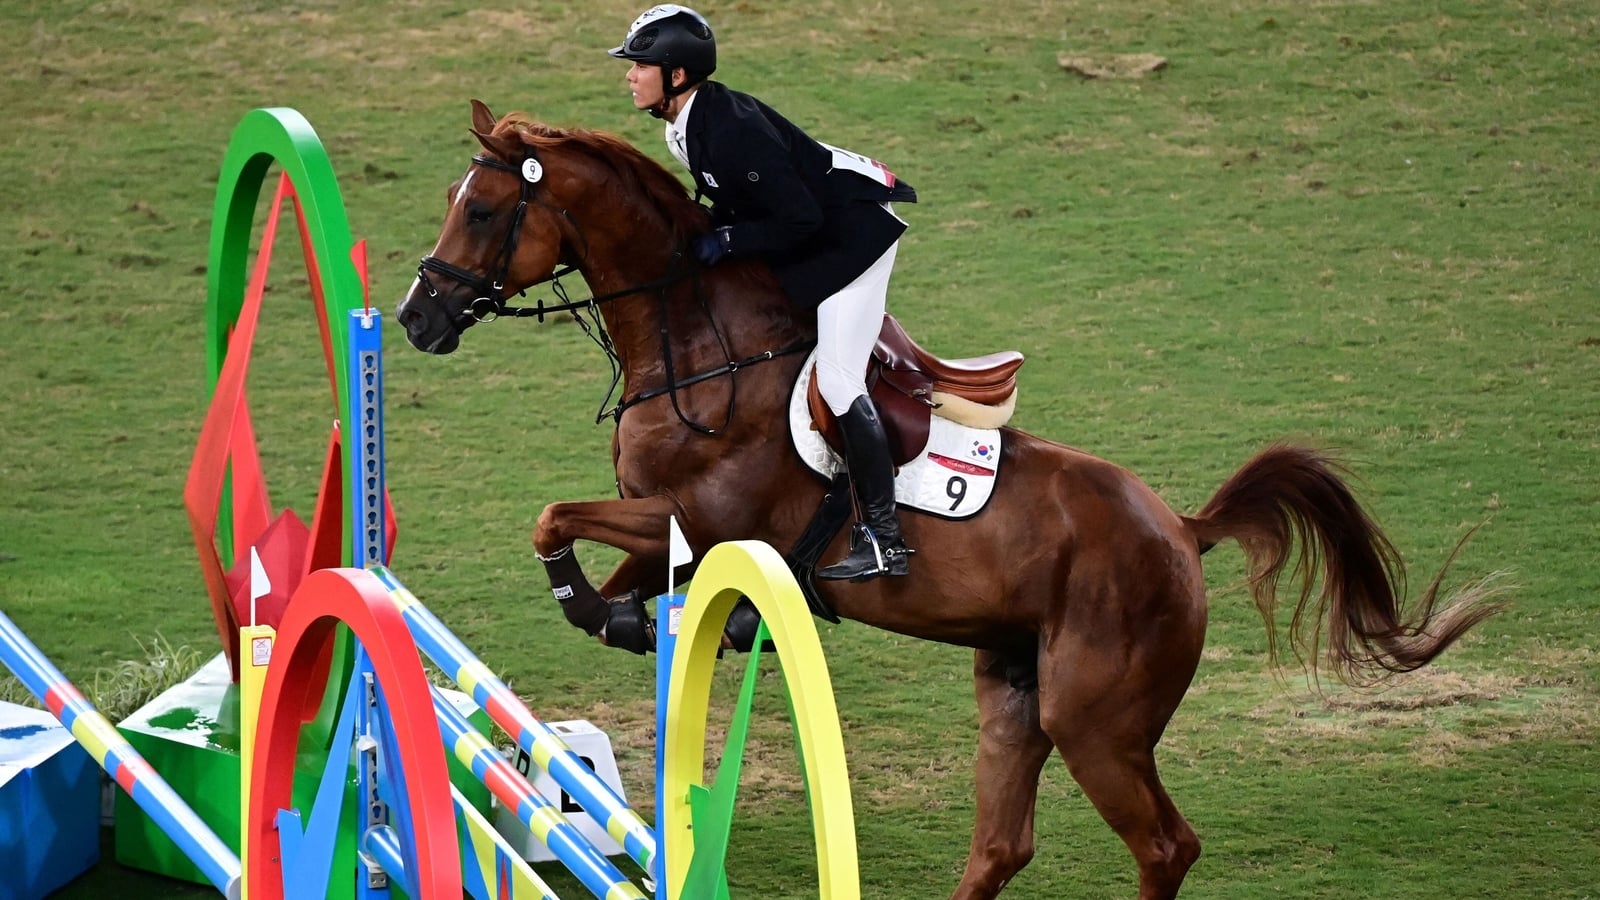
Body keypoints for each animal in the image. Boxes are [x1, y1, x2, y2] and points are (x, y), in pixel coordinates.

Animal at [395, 100, 1502, 900]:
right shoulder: (672, 530)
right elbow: (598, 555)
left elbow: (552, 519)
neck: (700, 344)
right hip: (1015, 696)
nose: (416, 318)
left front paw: (605, 605)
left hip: (1098, 722)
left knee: (1164, 847)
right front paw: (626, 616)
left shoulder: (710, 522)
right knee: (1002, 847)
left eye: (483, 210)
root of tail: (1179, 533)